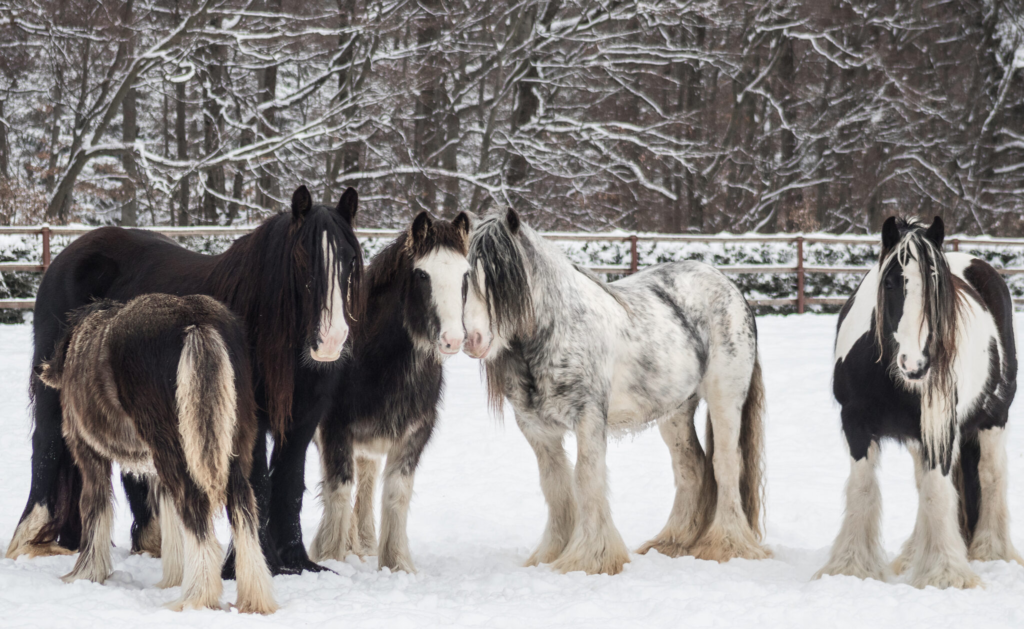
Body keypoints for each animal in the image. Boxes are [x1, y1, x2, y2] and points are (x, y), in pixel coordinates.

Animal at [6, 185, 361, 578]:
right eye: (302, 257)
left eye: (349, 258)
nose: (331, 340)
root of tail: (65, 258)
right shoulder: (246, 419)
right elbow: (259, 486)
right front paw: (254, 563)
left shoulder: (302, 420)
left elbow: (290, 484)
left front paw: (296, 561)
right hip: (55, 392)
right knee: (47, 446)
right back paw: (28, 537)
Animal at [36, 294, 276, 614]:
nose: (42, 370)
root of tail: (196, 321)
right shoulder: (155, 466)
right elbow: (170, 520)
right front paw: (172, 578)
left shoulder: (89, 453)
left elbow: (95, 510)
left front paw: (85, 573)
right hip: (225, 451)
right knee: (242, 509)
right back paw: (254, 598)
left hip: (175, 451)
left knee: (196, 508)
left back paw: (196, 597)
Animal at [310, 211, 471, 573]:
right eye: (423, 274)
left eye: (466, 274)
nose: (453, 339)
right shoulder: (334, 429)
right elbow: (338, 488)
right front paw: (329, 557)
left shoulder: (414, 434)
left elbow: (396, 493)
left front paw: (396, 563)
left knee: (367, 478)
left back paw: (365, 543)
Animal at [460, 208, 769, 575]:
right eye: (465, 279)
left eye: (502, 279)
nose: (473, 340)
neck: (558, 329)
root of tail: (731, 287)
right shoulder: (537, 430)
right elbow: (556, 486)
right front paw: (551, 554)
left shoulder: (589, 418)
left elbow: (586, 479)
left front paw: (591, 558)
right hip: (676, 410)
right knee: (691, 466)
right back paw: (672, 543)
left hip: (726, 399)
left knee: (726, 464)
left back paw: (726, 545)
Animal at [816, 216, 1020, 589]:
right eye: (891, 283)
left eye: (937, 286)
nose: (916, 364)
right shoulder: (855, 423)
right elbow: (863, 490)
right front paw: (851, 568)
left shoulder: (942, 427)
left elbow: (937, 492)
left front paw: (946, 574)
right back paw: (913, 555)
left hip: (994, 418)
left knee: (991, 476)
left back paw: (991, 551)